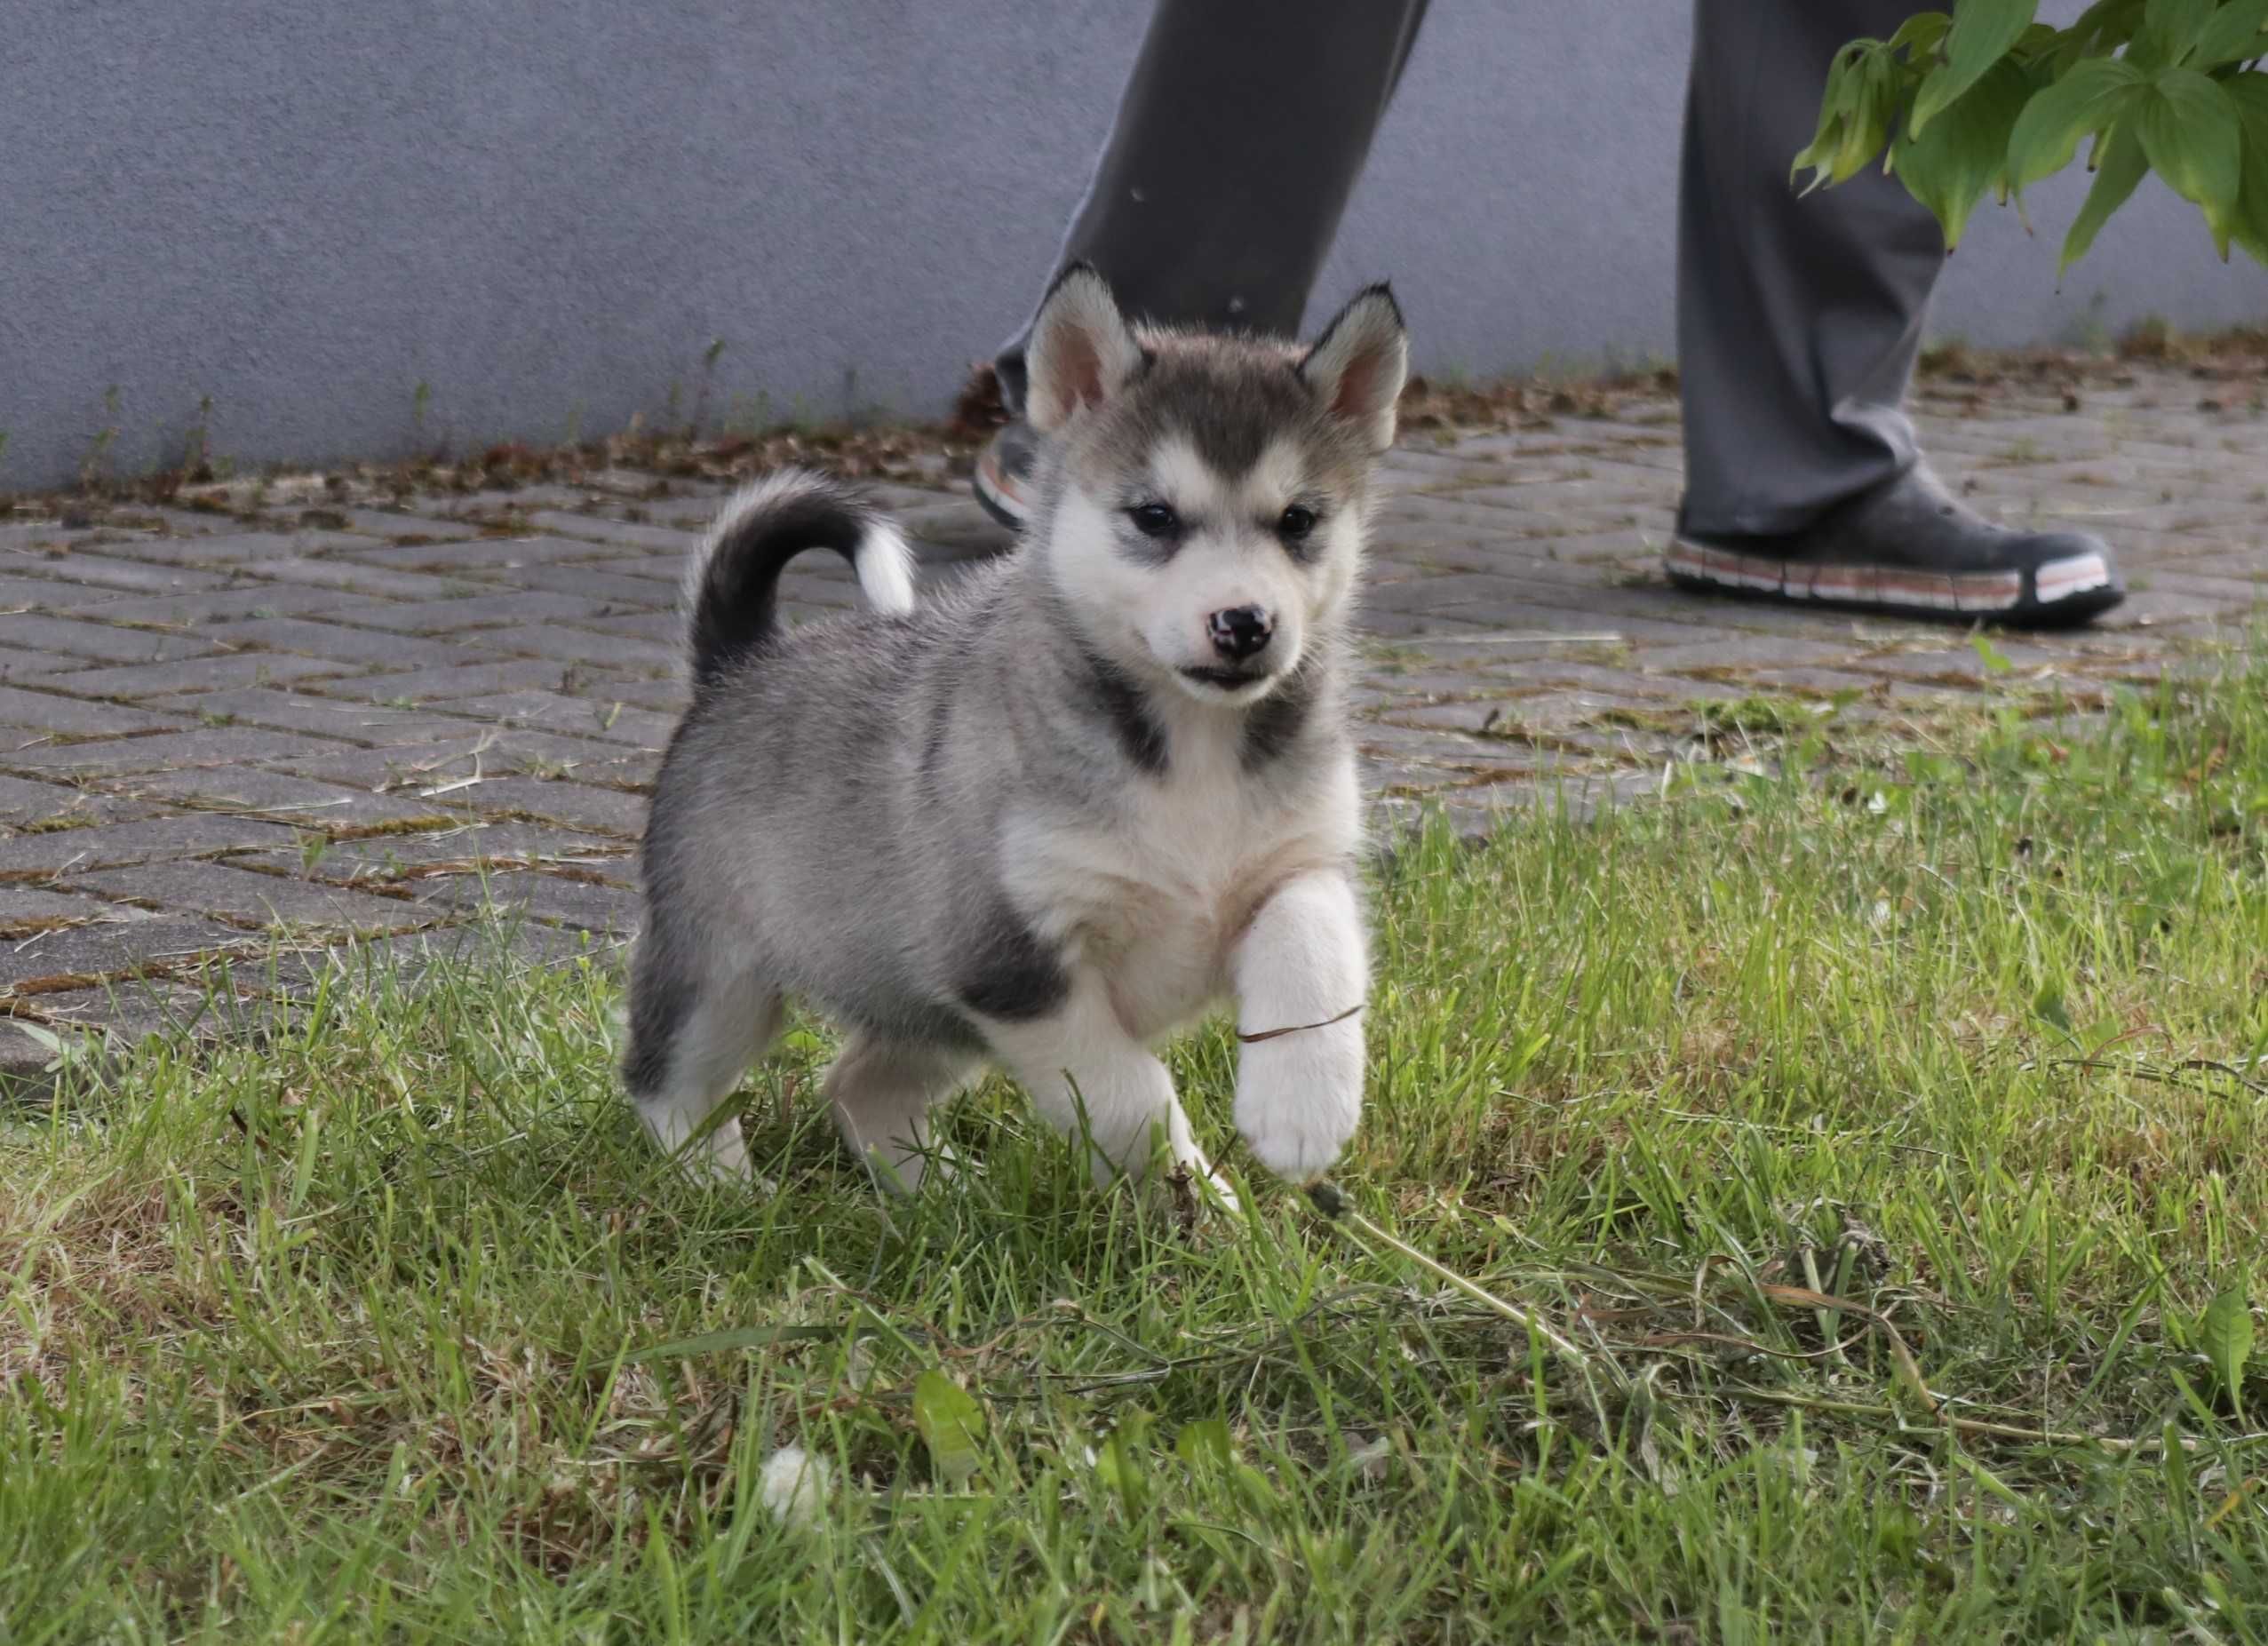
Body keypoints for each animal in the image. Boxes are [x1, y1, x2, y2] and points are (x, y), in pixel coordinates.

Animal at [621, 267, 1397, 1197]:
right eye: (1154, 516)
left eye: (1297, 521)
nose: (1244, 623)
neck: (1189, 745)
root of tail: (739, 660)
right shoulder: (1009, 967)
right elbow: (1127, 1093)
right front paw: (1191, 1196)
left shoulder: (1300, 860)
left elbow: (1313, 949)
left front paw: (1301, 1111)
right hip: (723, 973)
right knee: (667, 1080)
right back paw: (721, 1184)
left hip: (928, 1016)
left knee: (856, 1086)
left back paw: (940, 1196)